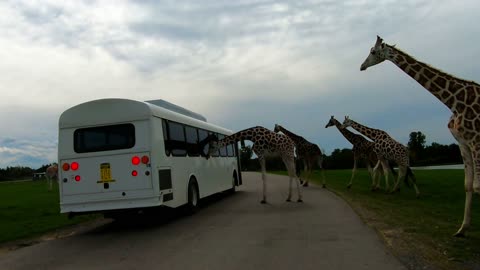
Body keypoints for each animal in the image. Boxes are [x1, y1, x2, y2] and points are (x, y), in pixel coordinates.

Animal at [362, 35, 478, 236]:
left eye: (373, 51)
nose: (362, 66)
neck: (453, 101)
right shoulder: (463, 142)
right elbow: (468, 185)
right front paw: (461, 230)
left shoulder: (475, 139)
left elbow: (478, 186)